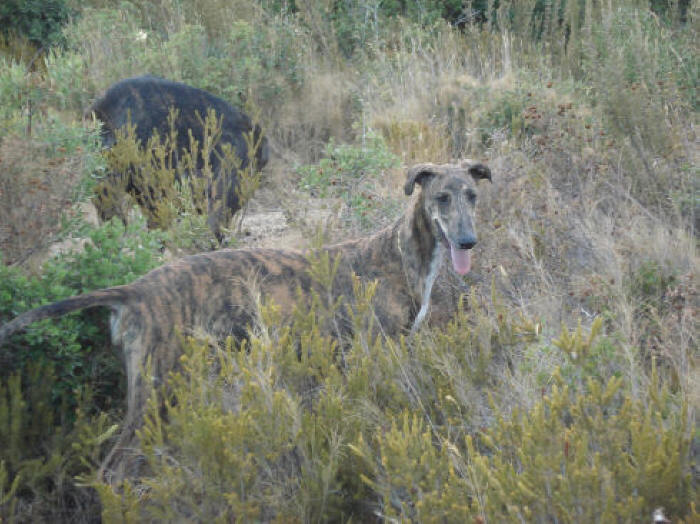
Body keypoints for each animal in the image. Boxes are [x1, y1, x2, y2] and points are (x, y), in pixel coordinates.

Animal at [0, 160, 491, 481]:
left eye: (472, 195)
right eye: (441, 197)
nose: (468, 241)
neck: (399, 252)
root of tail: (138, 288)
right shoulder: (376, 352)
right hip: (154, 389)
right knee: (110, 468)